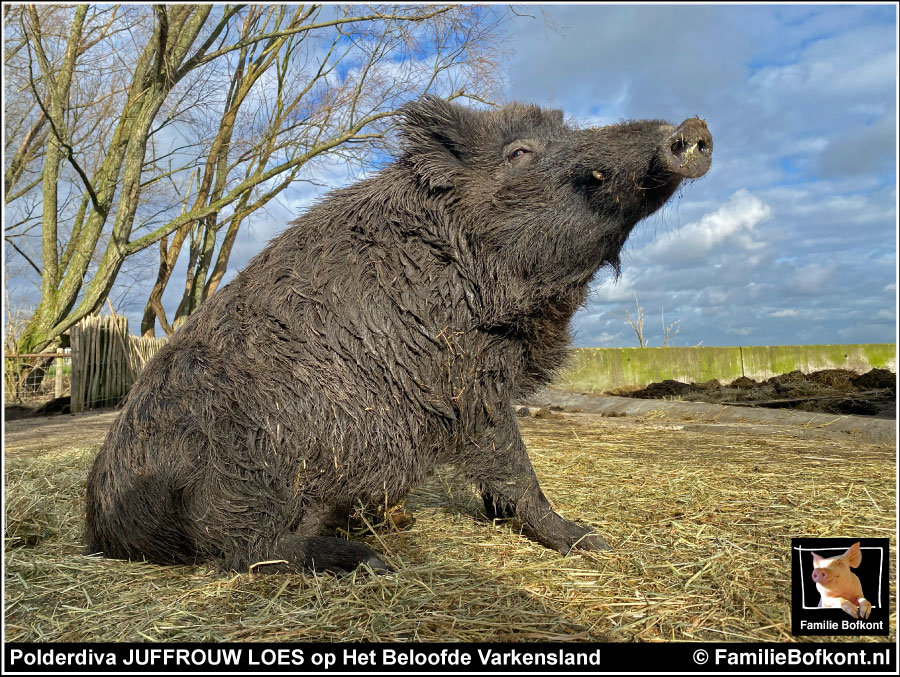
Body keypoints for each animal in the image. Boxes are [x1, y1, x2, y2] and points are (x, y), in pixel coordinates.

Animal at [86, 93, 716, 572]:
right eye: (518, 153)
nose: (693, 127)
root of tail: (104, 525)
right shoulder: (464, 378)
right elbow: (513, 463)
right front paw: (590, 540)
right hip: (246, 476)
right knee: (246, 551)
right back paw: (371, 560)